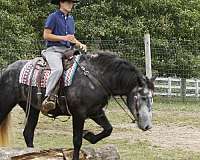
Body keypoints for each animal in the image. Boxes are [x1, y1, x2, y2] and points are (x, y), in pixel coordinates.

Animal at [0, 51, 155, 160]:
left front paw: (89, 135)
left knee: (28, 132)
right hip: (6, 103)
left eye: (152, 98)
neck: (96, 78)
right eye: (141, 96)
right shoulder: (79, 114)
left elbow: (108, 129)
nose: (147, 126)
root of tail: (7, 69)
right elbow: (77, 141)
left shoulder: (96, 112)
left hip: (32, 108)